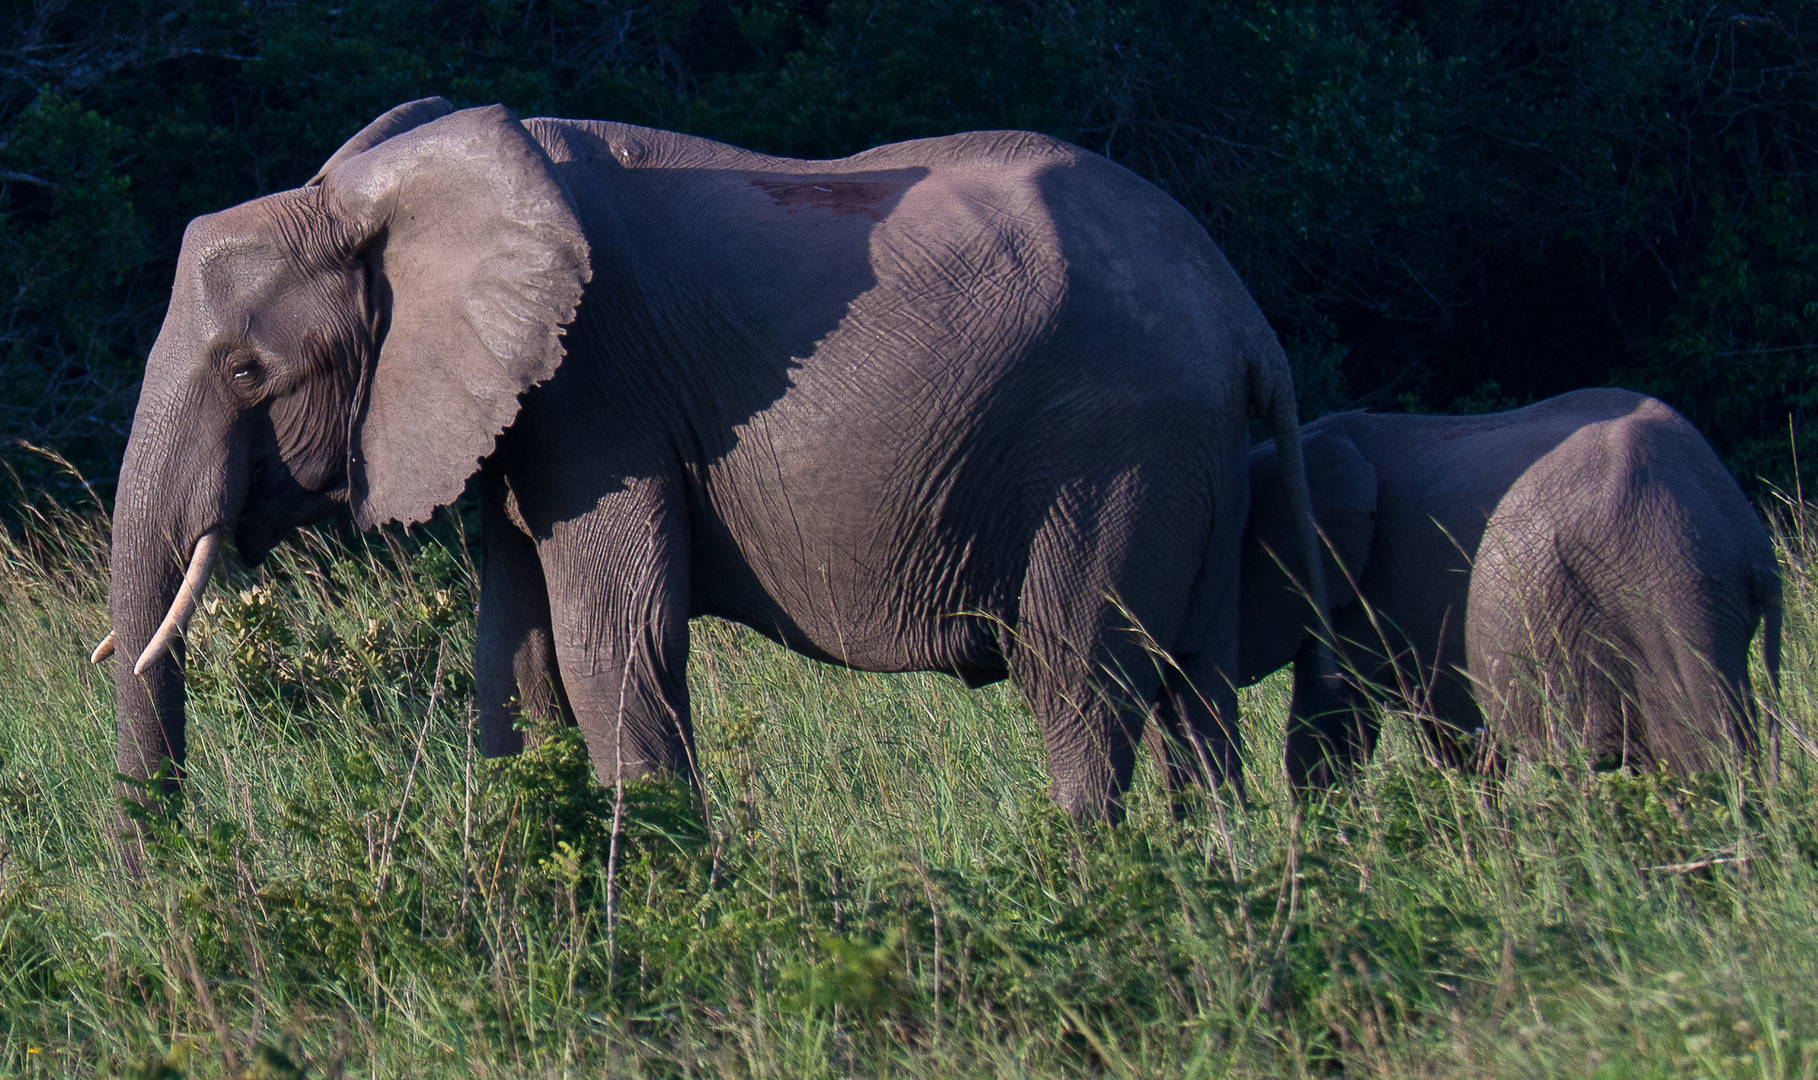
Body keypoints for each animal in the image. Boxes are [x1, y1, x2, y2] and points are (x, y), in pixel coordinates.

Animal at [95, 98, 1323, 814]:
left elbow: (610, 644)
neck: (389, 194)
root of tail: (1241, 311)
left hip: (1115, 458)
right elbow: (512, 657)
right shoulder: (526, 412)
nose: (163, 890)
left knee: (1080, 689)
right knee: (1199, 700)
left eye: (248, 372)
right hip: (1195, 466)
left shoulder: (599, 386)